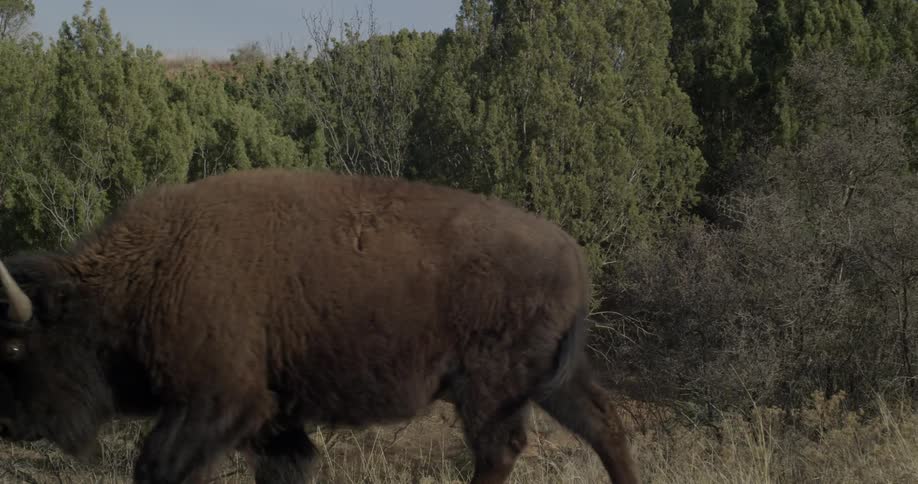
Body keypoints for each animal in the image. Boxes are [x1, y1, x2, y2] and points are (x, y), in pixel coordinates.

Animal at [0, 168, 639, 484]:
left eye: (14, 349)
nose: (10, 425)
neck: (153, 267)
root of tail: (571, 250)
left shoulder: (217, 402)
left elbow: (157, 467)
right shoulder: (270, 416)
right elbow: (290, 465)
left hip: (491, 386)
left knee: (500, 449)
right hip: (552, 379)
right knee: (604, 425)